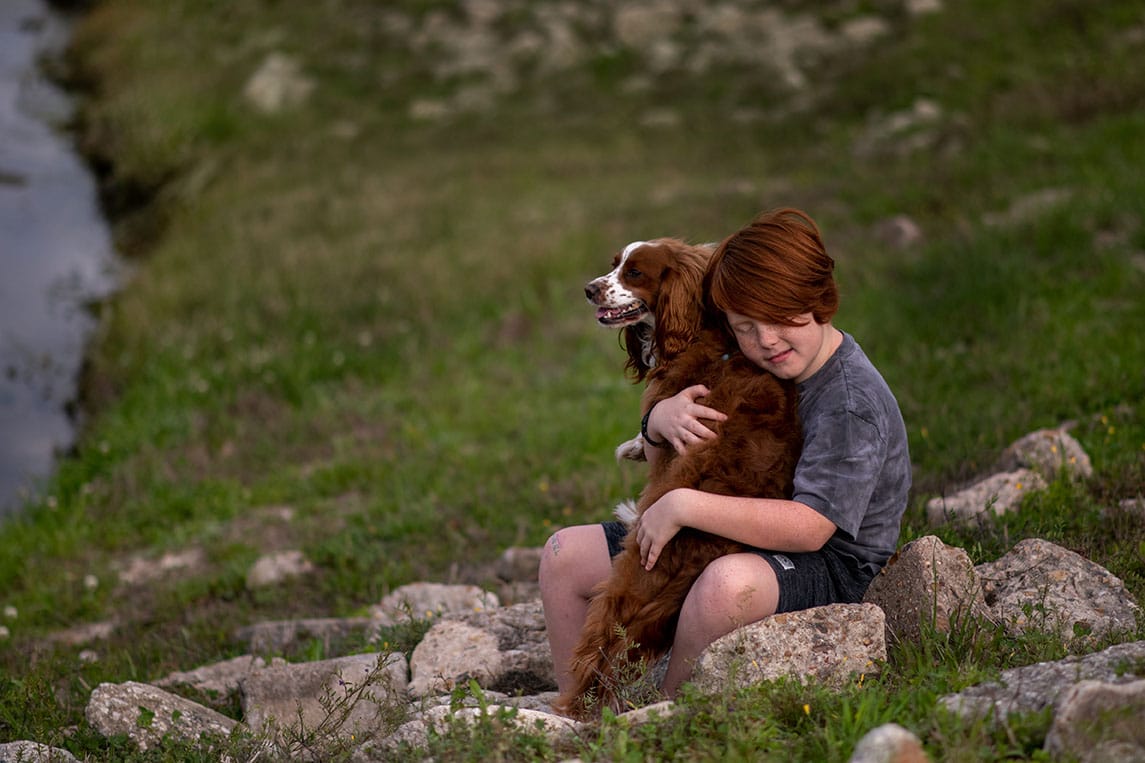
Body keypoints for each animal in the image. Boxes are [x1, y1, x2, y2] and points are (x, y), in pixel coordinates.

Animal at [561, 236, 801, 714]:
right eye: (614, 264)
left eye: (634, 272)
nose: (589, 289)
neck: (701, 331)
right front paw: (633, 445)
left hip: (634, 568)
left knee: (603, 641)